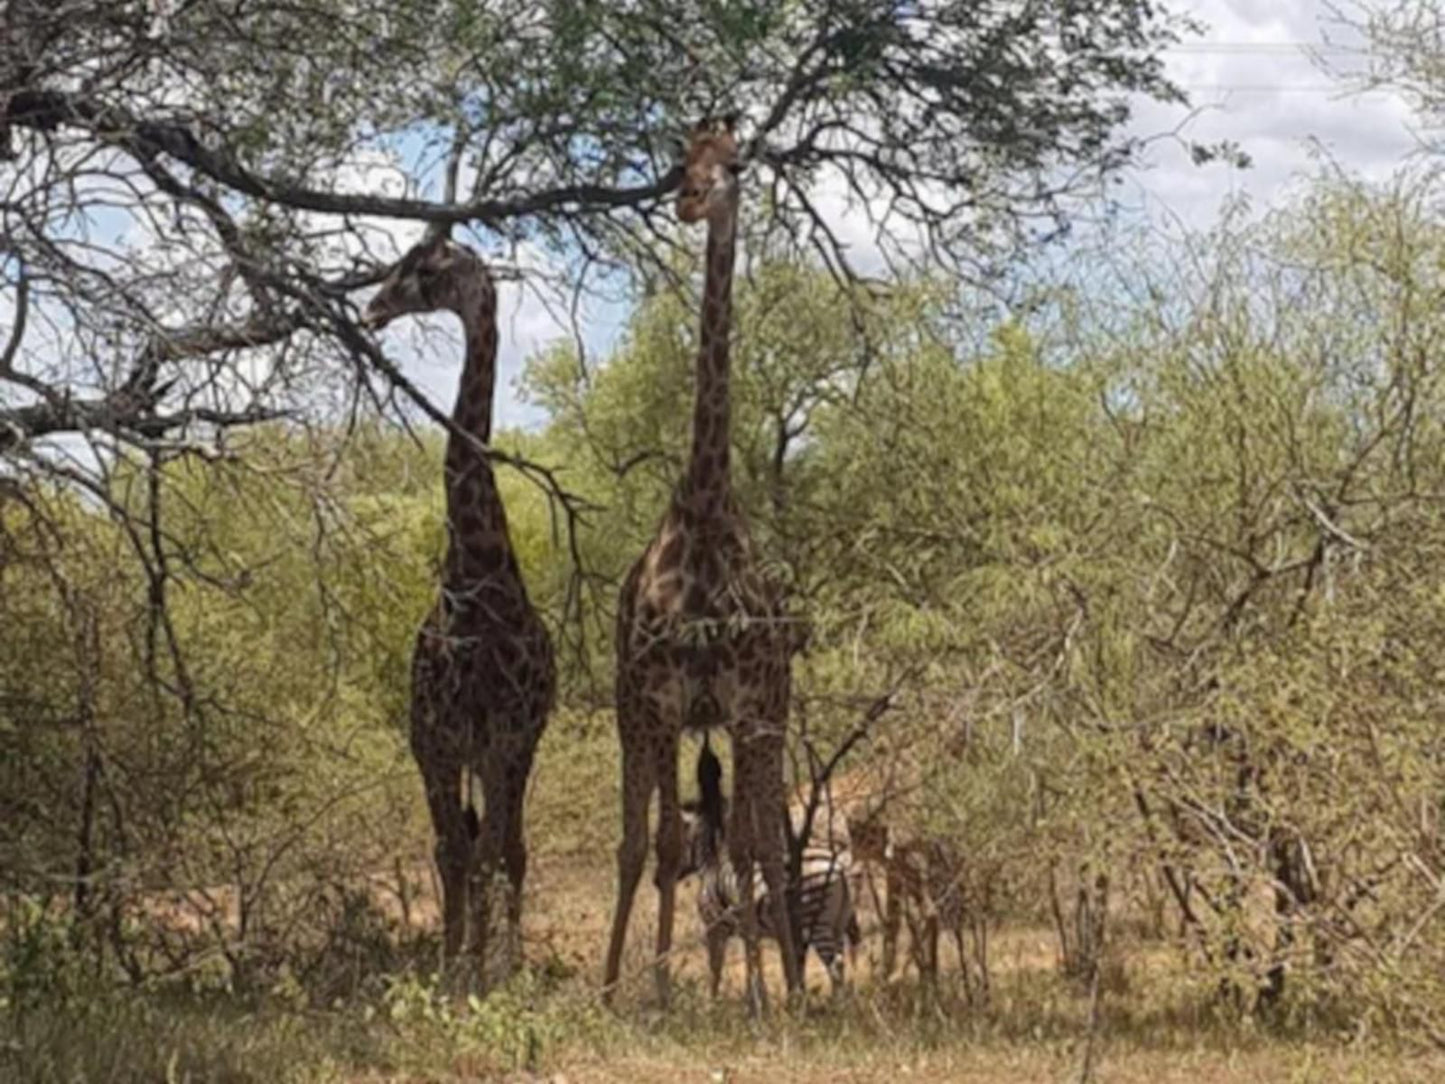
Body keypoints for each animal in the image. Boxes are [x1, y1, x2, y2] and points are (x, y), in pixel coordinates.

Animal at [364, 229, 554, 982]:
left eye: (423, 269)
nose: (373, 307)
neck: (475, 583)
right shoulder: (436, 739)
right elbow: (451, 853)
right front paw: (449, 970)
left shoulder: (504, 736)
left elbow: (492, 854)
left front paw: (490, 971)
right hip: (462, 751)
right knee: (472, 845)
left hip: (513, 750)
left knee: (510, 848)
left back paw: (506, 957)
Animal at [676, 740, 855, 1000]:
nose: (659, 878)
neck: (711, 863)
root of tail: (838, 868)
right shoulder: (747, 930)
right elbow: (752, 962)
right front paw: (755, 998)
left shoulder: (714, 927)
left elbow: (715, 968)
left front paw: (712, 1001)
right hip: (838, 921)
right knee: (840, 962)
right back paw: (844, 1002)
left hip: (817, 919)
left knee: (834, 964)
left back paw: (836, 1004)